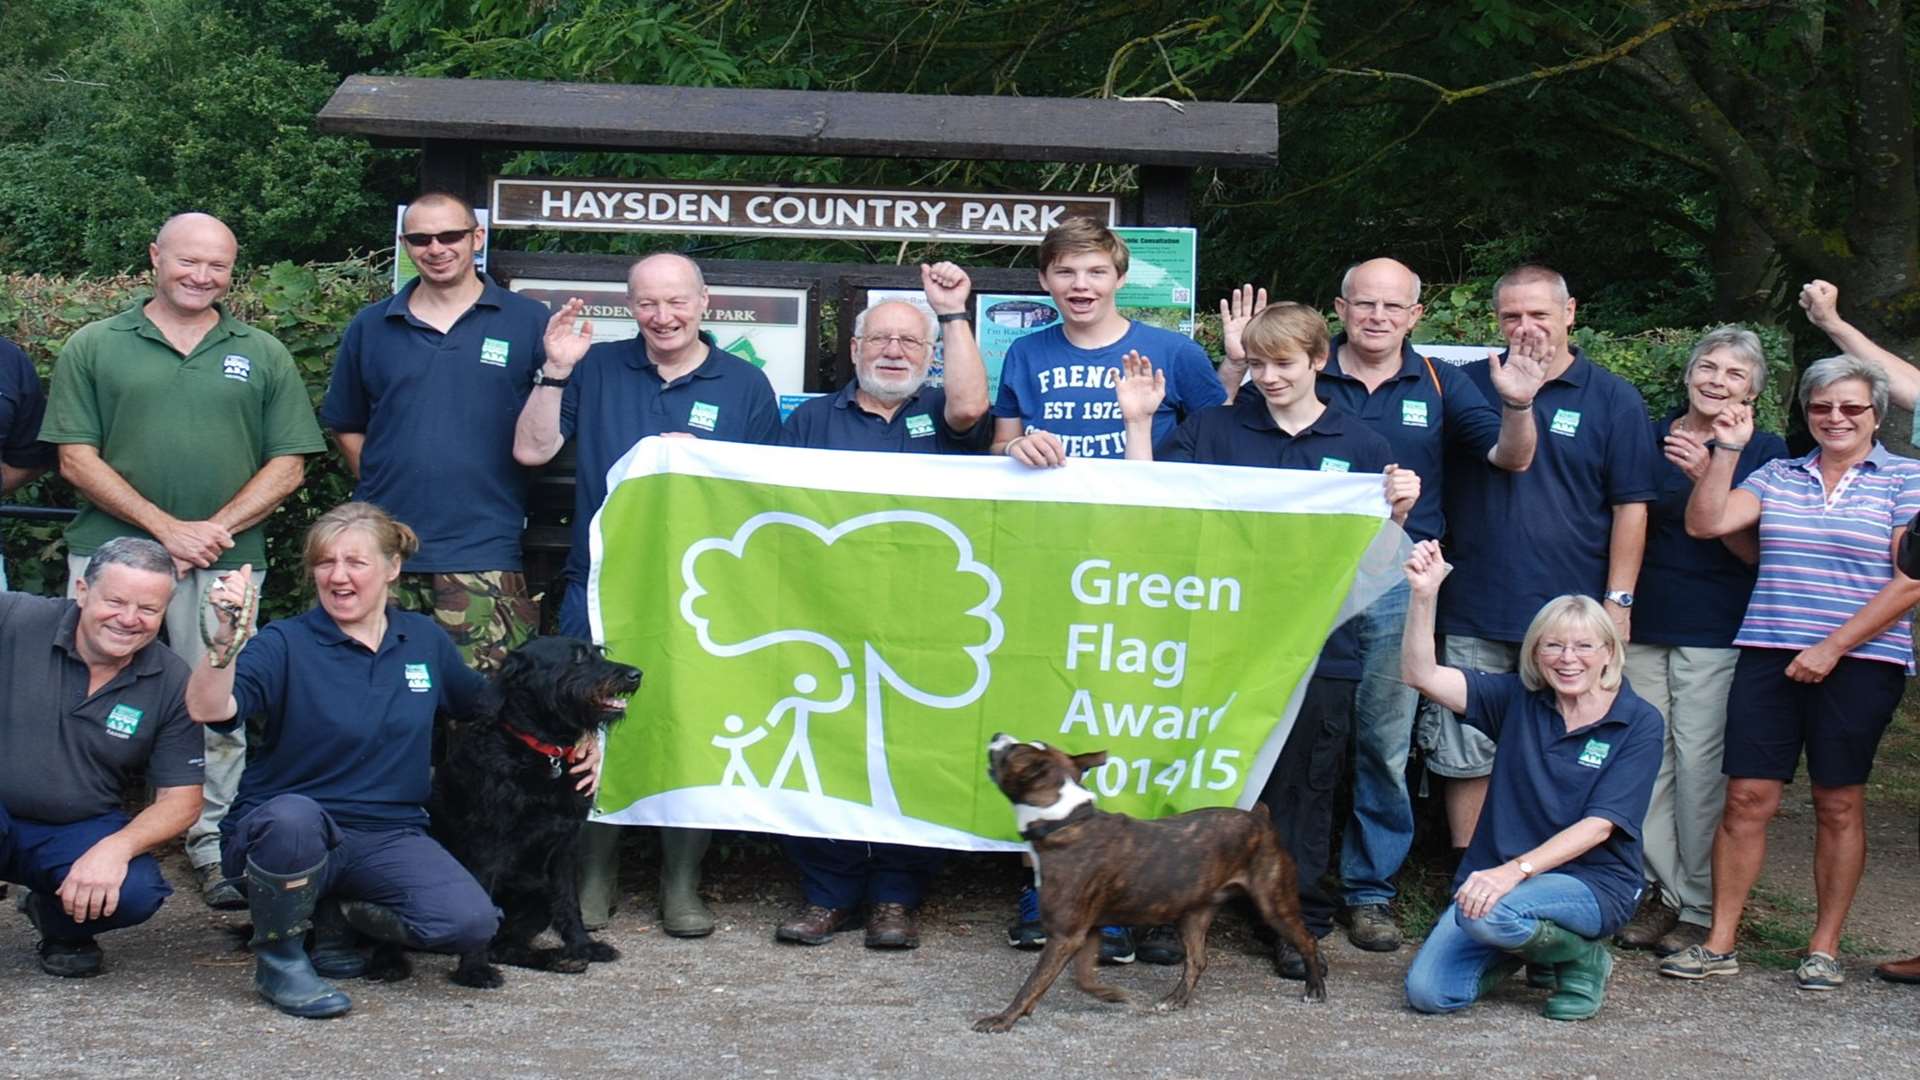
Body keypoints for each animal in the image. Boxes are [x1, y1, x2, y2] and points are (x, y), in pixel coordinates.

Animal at [424, 638, 641, 983]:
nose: (636, 675)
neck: (544, 751)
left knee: (506, 946)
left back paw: (560, 958)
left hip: (537, 896)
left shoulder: (566, 844)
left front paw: (583, 946)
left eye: (598, 652)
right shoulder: (486, 842)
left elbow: (569, 902)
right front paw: (473, 969)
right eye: (577, 657)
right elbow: (480, 903)